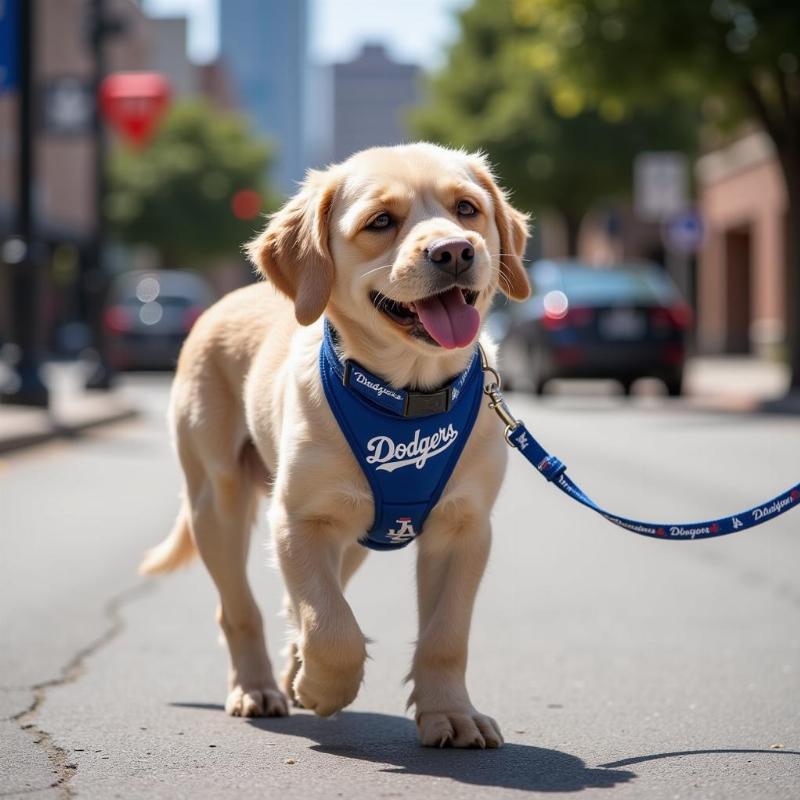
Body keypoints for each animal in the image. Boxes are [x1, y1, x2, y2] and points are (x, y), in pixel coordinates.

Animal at [142, 144, 532, 752]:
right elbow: (331, 626)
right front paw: (324, 687)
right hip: (216, 500)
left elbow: (446, 634)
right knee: (240, 607)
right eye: (381, 221)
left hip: (359, 537)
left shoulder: (464, 528)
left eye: (467, 208)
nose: (454, 250)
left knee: (293, 601)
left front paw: (451, 712)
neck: (407, 397)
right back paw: (258, 687)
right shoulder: (299, 519)